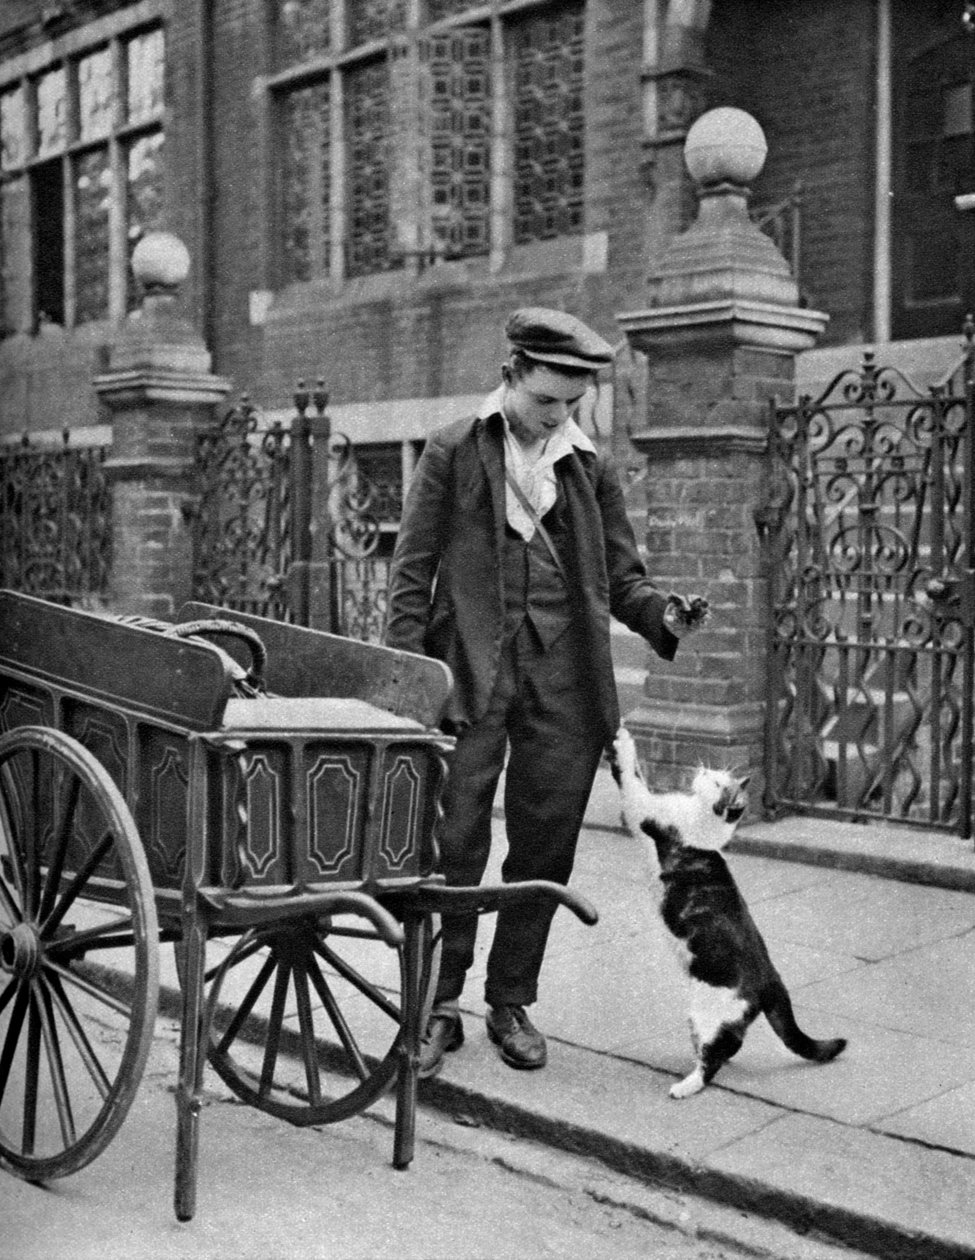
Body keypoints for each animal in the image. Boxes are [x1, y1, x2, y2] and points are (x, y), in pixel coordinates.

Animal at [609, 730, 846, 1103]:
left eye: (719, 783)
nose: (704, 770)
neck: (705, 825)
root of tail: (771, 980)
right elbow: (639, 777)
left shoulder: (646, 813)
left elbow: (633, 777)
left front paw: (623, 740)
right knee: (728, 1046)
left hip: (709, 1012)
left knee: (714, 1058)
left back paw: (686, 1086)